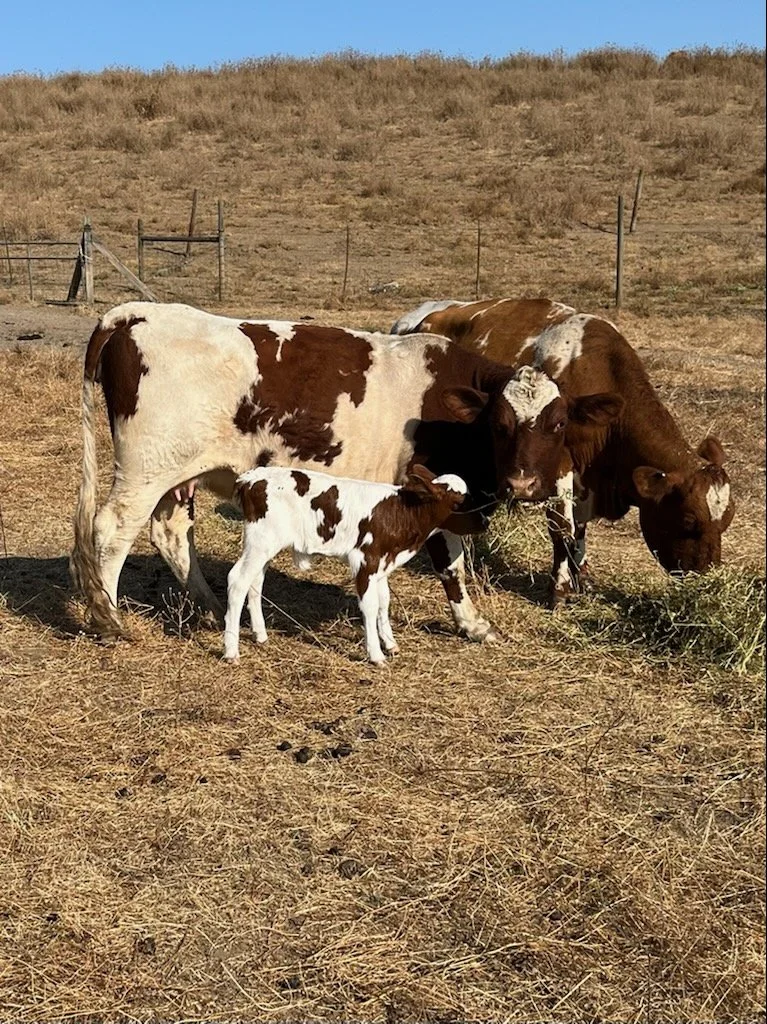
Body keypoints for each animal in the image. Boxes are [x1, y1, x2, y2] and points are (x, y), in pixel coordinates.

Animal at [71, 302, 619, 642]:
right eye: (501, 424)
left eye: (558, 423)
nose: (524, 483)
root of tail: (136, 313)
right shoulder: (431, 489)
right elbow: (451, 563)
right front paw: (471, 623)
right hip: (146, 469)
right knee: (112, 531)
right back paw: (108, 617)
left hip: (177, 474)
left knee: (170, 533)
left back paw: (207, 607)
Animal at [224, 465, 467, 664]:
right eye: (458, 502)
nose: (478, 522)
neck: (401, 512)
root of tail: (250, 478)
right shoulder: (365, 560)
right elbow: (370, 606)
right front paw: (376, 655)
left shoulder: (382, 563)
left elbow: (384, 602)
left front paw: (390, 644)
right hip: (260, 542)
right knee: (238, 581)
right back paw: (231, 651)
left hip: (265, 546)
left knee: (255, 582)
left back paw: (260, 635)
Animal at [391, 297, 735, 606]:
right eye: (688, 520)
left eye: (727, 520)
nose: (707, 577)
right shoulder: (559, 466)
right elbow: (562, 528)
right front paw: (560, 588)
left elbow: (578, 529)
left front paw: (581, 575)